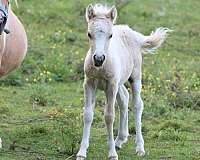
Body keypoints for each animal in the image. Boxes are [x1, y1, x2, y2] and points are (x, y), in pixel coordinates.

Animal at [76, 3, 170, 160]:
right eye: (89, 34)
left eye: (110, 35)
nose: (99, 59)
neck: (101, 68)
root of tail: (132, 33)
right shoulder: (89, 83)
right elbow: (88, 115)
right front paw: (82, 152)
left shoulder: (111, 85)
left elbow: (109, 116)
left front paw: (112, 154)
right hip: (119, 82)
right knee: (124, 99)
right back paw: (120, 140)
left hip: (135, 77)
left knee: (137, 105)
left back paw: (139, 148)